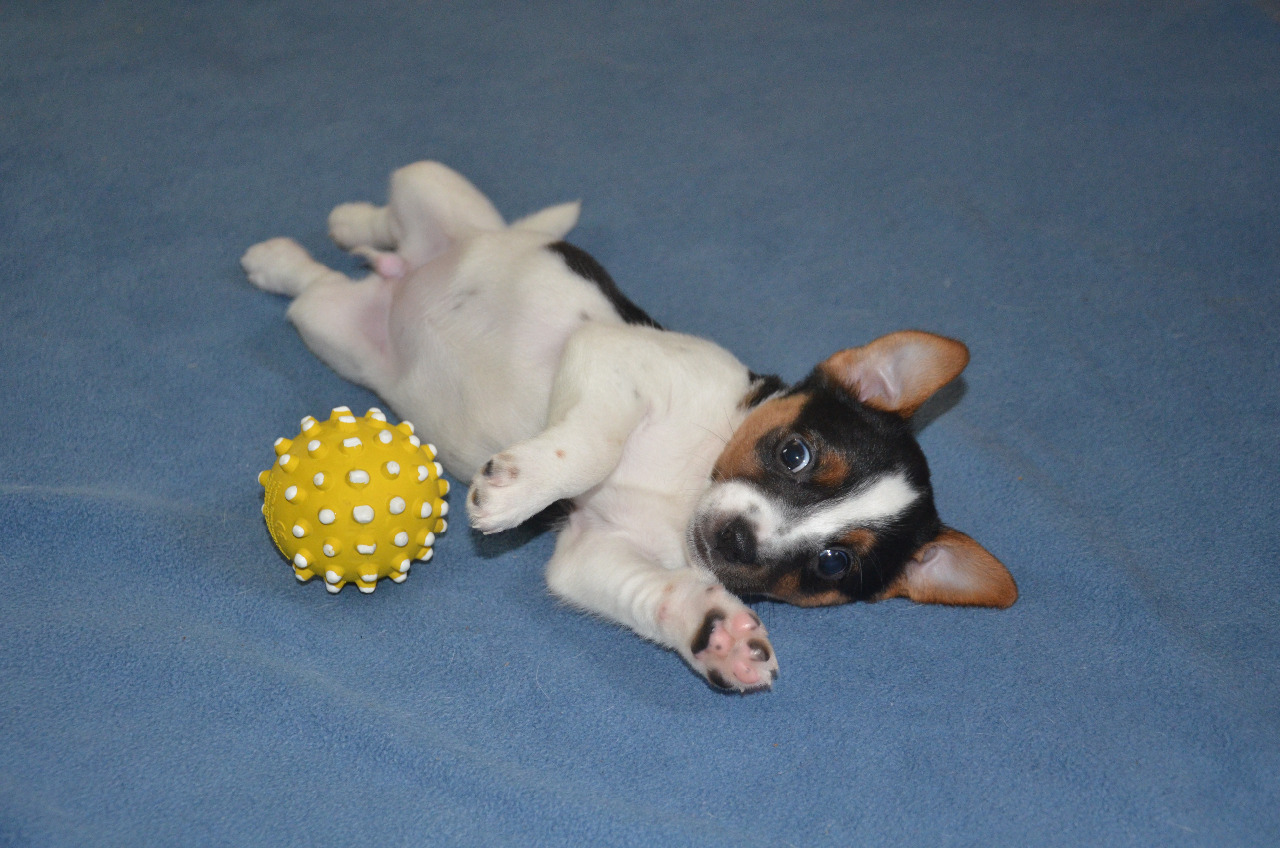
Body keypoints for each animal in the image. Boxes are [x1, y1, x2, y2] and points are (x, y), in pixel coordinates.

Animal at [241, 162, 1017, 692]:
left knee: (318, 286)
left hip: (337, 330)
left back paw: (300, 257)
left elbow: (665, 598)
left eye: (832, 563)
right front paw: (515, 491)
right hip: (436, 190)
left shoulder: (591, 555)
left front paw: (716, 637)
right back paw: (335, 229)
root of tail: (402, 275)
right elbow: (591, 447)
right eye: (795, 453)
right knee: (389, 216)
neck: (687, 487)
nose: (736, 541)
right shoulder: (614, 358)